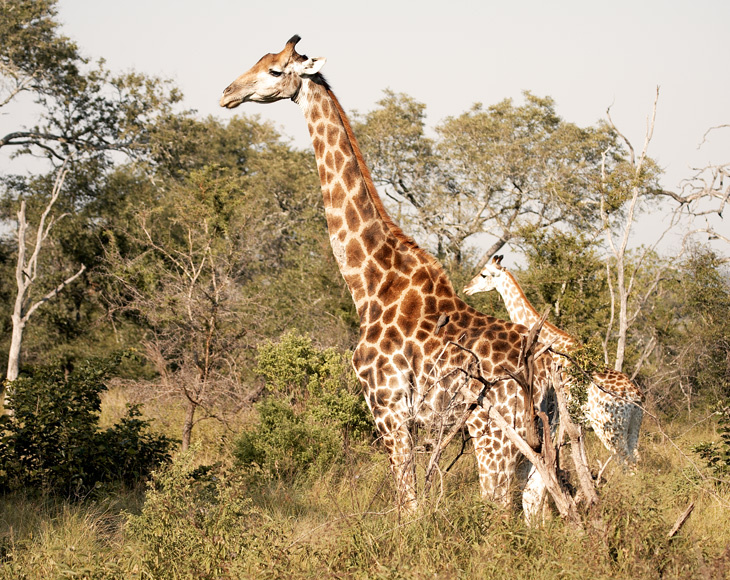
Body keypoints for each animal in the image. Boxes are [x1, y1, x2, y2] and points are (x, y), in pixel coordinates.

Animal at [219, 36, 556, 513]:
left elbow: (409, 505)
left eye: (274, 71)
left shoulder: (388, 408)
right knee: (535, 508)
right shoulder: (406, 418)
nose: (227, 93)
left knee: (498, 510)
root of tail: (542, 373)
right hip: (541, 441)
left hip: (493, 434)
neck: (369, 282)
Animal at [464, 255, 643, 465]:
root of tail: (637, 397)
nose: (466, 288)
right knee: (636, 460)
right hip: (632, 428)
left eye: (484, 274)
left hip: (610, 429)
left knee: (625, 463)